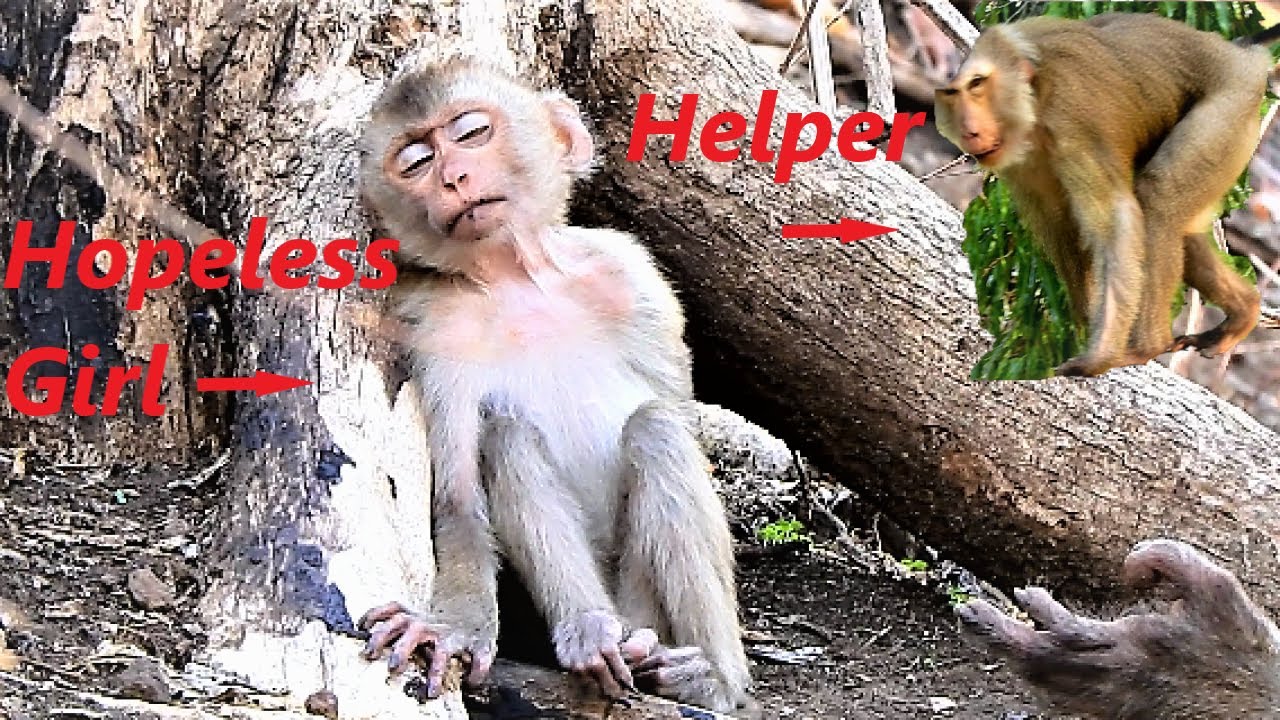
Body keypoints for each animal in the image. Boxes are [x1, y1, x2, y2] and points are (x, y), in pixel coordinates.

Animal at [353, 58, 754, 715]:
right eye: (414, 162)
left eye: (470, 132)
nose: (454, 178)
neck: (520, 278)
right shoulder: (434, 325)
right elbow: (459, 498)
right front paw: (453, 627)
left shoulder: (634, 276)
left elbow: (679, 416)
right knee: (507, 434)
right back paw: (591, 634)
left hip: (640, 599)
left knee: (658, 429)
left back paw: (708, 680)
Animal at [935, 13, 1268, 377]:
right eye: (952, 95)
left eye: (977, 85)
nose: (968, 130)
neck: (1037, 95)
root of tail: (1239, 56)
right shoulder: (1020, 161)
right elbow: (1061, 226)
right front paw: (1085, 322)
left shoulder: (1072, 117)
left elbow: (1115, 218)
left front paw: (1101, 353)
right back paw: (1244, 311)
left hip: (1230, 104)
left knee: (1157, 198)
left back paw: (1145, 347)